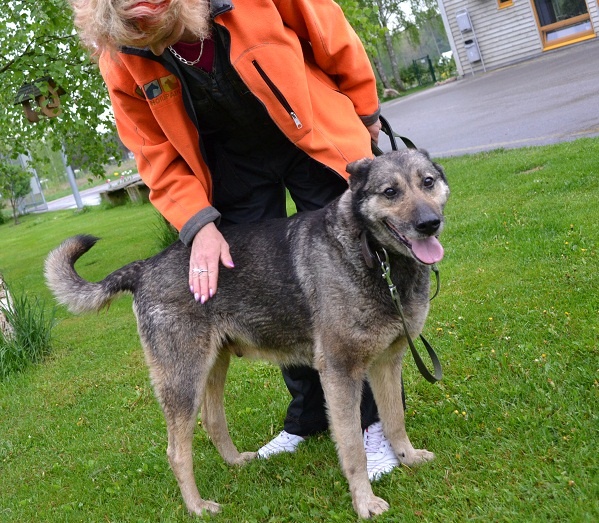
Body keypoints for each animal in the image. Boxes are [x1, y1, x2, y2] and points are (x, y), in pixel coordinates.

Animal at [45, 149, 449, 519]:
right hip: (183, 380)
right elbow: (352, 448)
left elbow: (394, 419)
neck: (375, 256)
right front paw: (364, 502)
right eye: (390, 192)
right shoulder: (340, 372)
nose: (430, 224)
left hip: (213, 367)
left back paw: (236, 462)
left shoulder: (387, 363)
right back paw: (197, 506)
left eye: (427, 182)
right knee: (176, 451)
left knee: (212, 421)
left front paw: (407, 458)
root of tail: (144, 267)